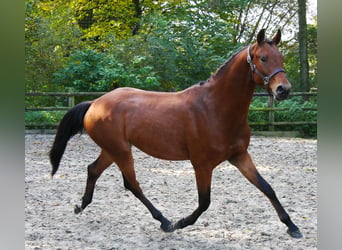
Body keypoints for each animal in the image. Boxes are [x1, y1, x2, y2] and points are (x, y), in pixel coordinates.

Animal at [50, 29, 302, 238]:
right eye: (263, 58)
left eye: (281, 58)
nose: (284, 90)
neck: (215, 108)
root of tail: (95, 103)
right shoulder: (202, 164)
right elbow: (204, 202)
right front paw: (180, 223)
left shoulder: (239, 156)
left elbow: (267, 188)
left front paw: (292, 227)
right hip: (120, 151)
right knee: (132, 184)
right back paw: (164, 221)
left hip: (112, 150)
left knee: (94, 170)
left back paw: (80, 206)